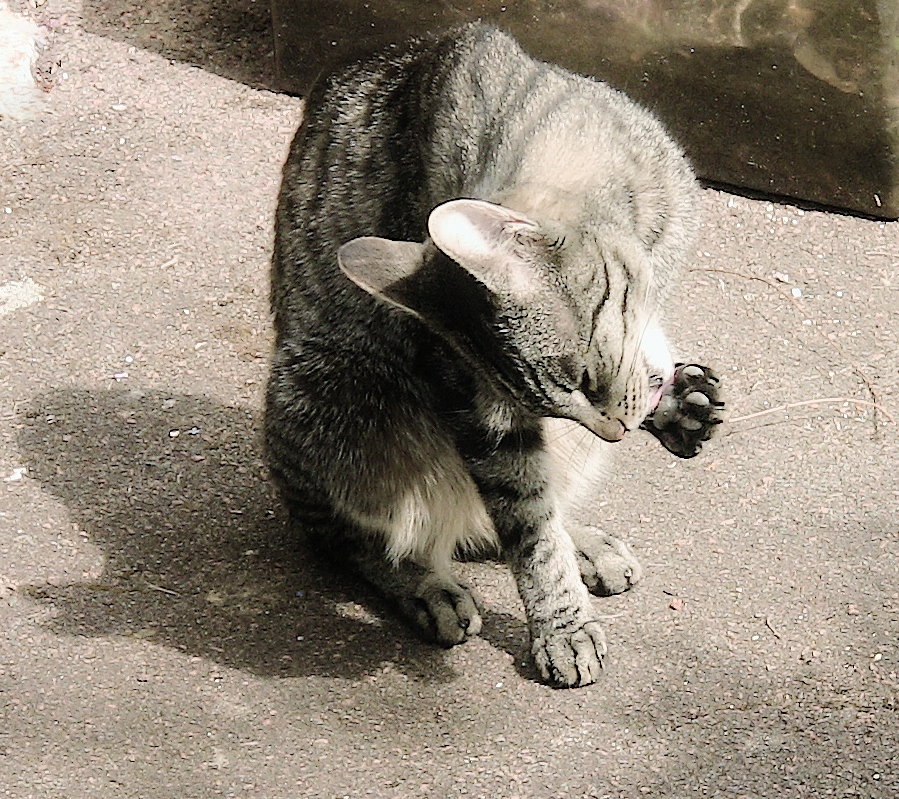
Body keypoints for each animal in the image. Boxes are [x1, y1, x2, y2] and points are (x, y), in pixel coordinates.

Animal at [262, 23, 724, 688]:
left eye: (586, 379)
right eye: (555, 397)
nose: (613, 432)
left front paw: (678, 402)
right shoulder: (476, 410)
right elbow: (529, 528)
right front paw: (561, 625)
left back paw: (586, 541)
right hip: (330, 392)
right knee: (354, 535)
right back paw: (425, 585)